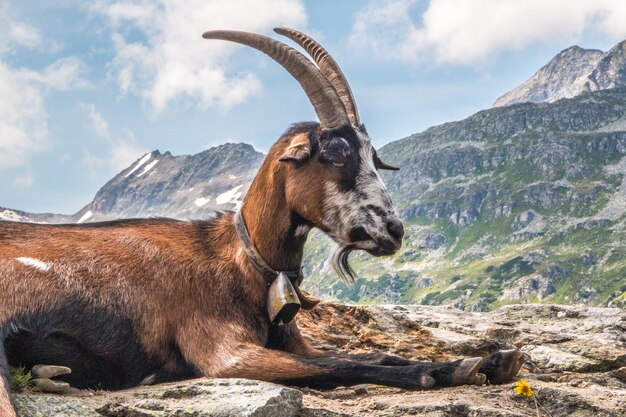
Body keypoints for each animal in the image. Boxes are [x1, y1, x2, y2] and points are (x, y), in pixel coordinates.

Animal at [0, 27, 520, 414]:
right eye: (335, 152)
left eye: (375, 158)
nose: (393, 230)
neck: (239, 262)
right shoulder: (225, 353)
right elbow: (341, 365)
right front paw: (449, 369)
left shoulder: (295, 344)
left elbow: (368, 352)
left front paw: (494, 359)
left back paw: (53, 375)